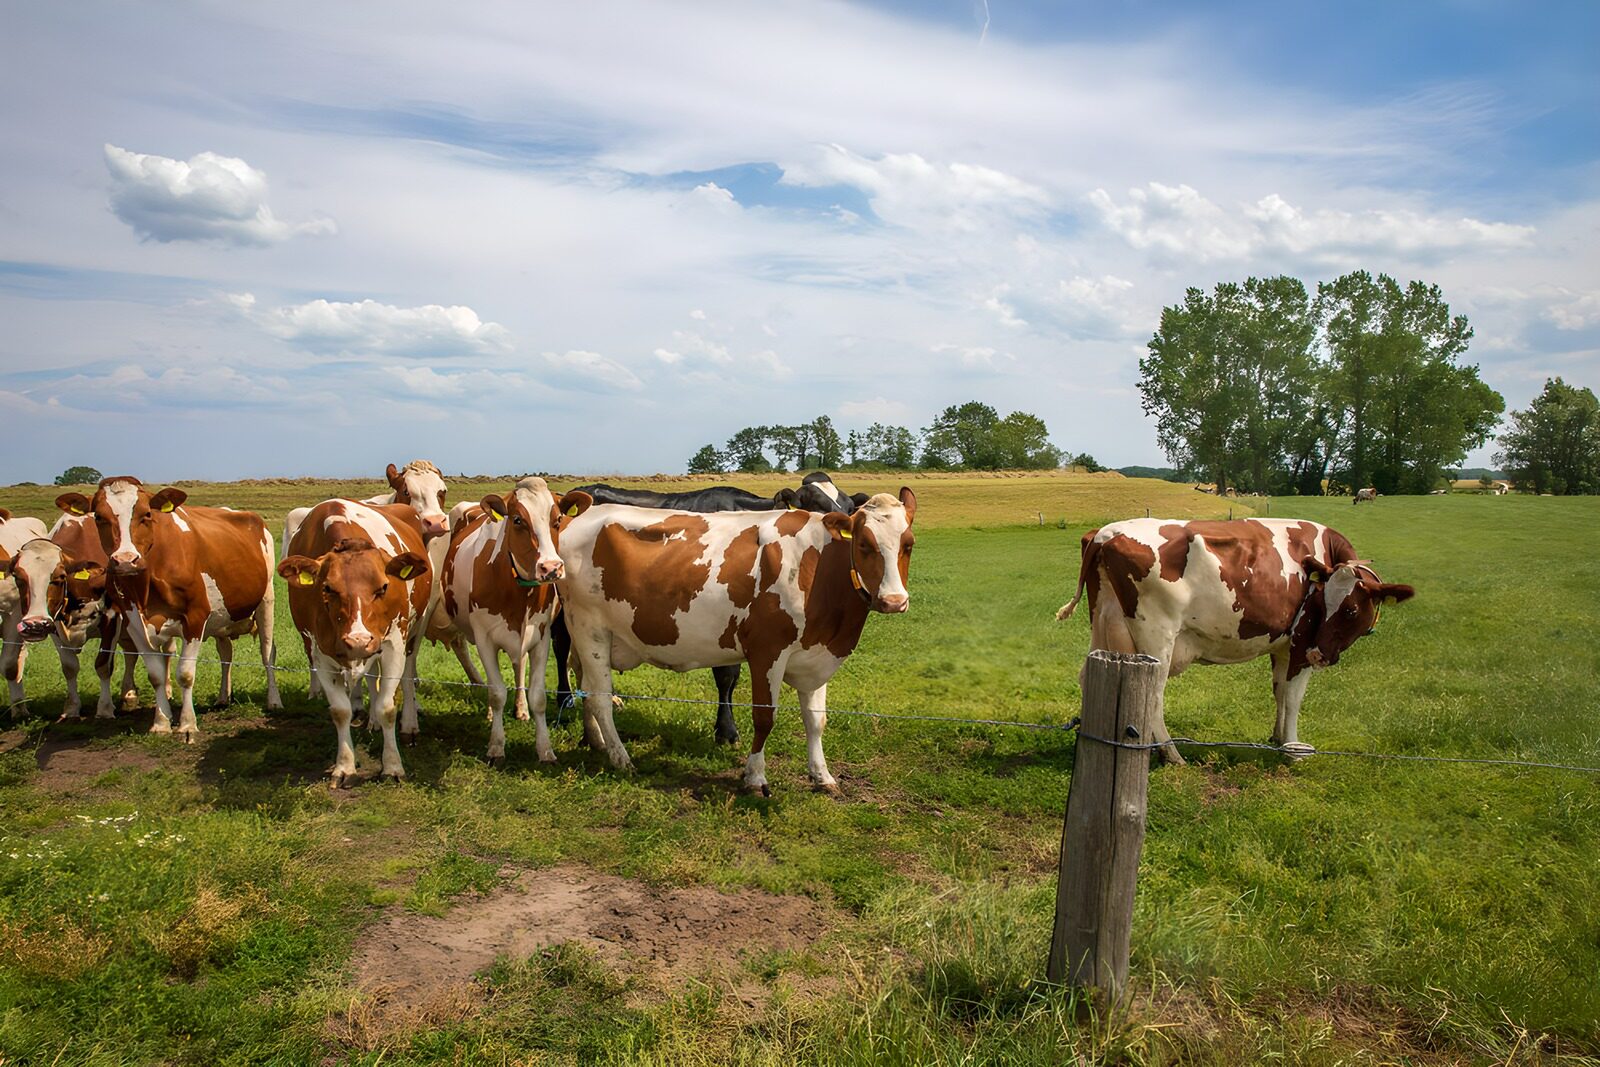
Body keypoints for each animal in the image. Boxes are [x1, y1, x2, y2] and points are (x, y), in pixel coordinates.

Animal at [54, 479, 282, 738]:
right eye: (99, 516)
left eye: (146, 514)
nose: (125, 560)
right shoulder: (134, 622)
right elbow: (156, 675)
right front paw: (161, 723)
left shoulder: (195, 617)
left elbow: (185, 673)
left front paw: (187, 724)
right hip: (222, 618)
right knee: (226, 654)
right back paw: (223, 697)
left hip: (266, 602)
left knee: (267, 653)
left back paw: (274, 700)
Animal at [279, 499, 432, 785]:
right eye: (327, 588)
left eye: (383, 587)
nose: (358, 640)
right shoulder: (319, 652)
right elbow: (340, 711)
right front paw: (345, 766)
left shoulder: (393, 645)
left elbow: (387, 707)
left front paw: (392, 766)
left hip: (413, 632)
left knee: (406, 675)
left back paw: (406, 723)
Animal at [432, 478, 592, 764]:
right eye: (517, 520)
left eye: (557, 519)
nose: (551, 567)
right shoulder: (485, 639)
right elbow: (496, 692)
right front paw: (496, 747)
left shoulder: (540, 637)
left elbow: (538, 695)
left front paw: (545, 749)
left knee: (520, 665)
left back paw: (521, 708)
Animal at [556, 488, 917, 796]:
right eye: (864, 544)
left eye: (908, 544)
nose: (894, 601)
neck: (817, 568)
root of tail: (577, 518)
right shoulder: (767, 651)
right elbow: (764, 717)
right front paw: (755, 777)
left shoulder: (817, 653)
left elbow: (816, 720)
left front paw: (822, 775)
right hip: (589, 629)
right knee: (599, 697)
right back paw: (621, 757)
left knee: (588, 689)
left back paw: (596, 741)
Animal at [1054, 518, 1413, 763]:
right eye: (1328, 604)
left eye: (1349, 609)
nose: (1319, 654)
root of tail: (1105, 533)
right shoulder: (1299, 642)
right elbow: (1294, 697)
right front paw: (1293, 749)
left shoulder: (1283, 645)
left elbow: (1279, 691)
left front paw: (1277, 737)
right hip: (1157, 640)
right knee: (1153, 697)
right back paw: (1172, 755)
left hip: (1104, 626)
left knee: (1088, 676)